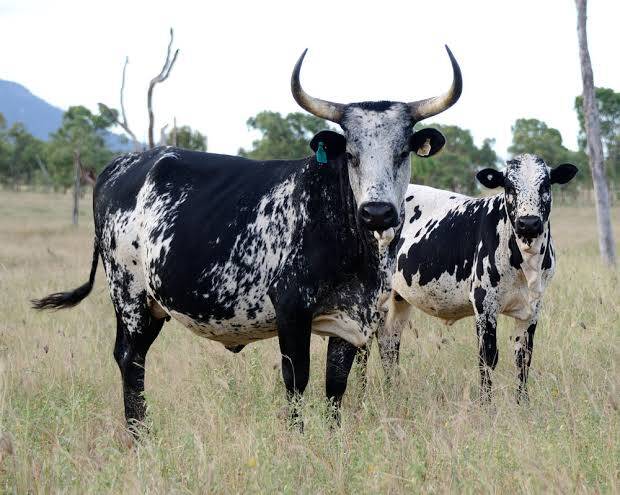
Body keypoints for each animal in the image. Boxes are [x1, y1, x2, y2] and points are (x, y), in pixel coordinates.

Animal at [32, 47, 460, 430]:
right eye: (351, 154)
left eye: (403, 152)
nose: (377, 212)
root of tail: (121, 165)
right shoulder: (291, 310)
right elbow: (296, 381)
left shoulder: (352, 319)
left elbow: (335, 388)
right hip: (129, 295)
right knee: (129, 358)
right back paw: (140, 436)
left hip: (152, 306)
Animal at [378, 155, 576, 404]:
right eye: (509, 187)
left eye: (545, 186)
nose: (528, 223)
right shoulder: (484, 304)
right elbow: (487, 357)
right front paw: (486, 404)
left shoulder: (532, 308)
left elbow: (523, 357)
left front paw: (523, 403)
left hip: (399, 298)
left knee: (390, 341)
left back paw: (392, 391)